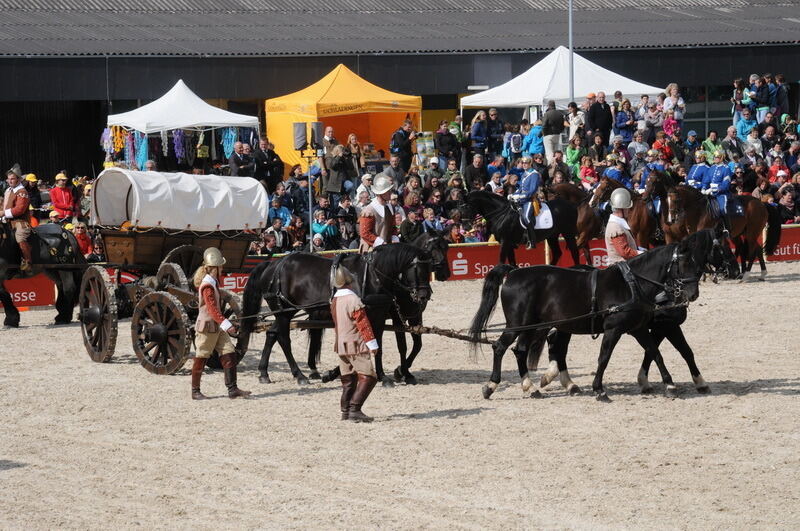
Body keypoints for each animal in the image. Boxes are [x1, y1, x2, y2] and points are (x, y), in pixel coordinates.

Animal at [466, 239, 704, 402]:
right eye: (684, 263)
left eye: (697, 263)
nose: (693, 294)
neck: (631, 285)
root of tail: (514, 272)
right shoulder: (615, 329)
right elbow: (604, 358)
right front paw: (599, 389)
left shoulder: (639, 328)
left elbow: (655, 353)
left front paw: (670, 385)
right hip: (519, 325)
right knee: (500, 347)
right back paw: (491, 386)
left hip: (535, 327)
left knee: (522, 350)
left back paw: (532, 387)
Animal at [536, 229, 740, 400]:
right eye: (722, 246)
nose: (736, 270)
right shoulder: (667, 326)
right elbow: (684, 351)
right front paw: (699, 382)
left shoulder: (651, 328)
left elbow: (653, 352)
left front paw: (647, 382)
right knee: (558, 346)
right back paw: (560, 380)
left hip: (566, 326)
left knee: (557, 345)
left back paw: (564, 382)